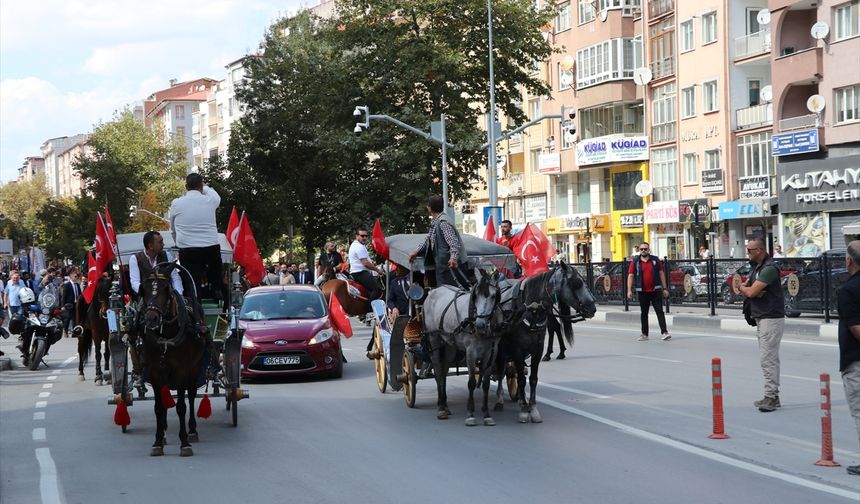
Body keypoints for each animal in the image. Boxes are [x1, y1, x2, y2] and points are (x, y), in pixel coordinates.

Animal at [143, 264, 208, 456]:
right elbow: (158, 407)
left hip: (195, 368)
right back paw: (164, 432)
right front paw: (157, 441)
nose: (151, 318)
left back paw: (192, 431)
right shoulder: (155, 371)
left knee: (191, 395)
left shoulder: (181, 370)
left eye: (166, 289)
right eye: (143, 289)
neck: (166, 336)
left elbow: (181, 406)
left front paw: (184, 442)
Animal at [422, 270, 504, 428]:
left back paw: (445, 405)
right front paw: (471, 414)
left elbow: (485, 384)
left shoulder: (492, 352)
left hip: (448, 344)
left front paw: (486, 414)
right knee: (437, 371)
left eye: (493, 296)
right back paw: (441, 408)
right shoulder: (471, 352)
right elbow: (471, 383)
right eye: (476, 295)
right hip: (433, 338)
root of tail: (433, 291)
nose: (480, 324)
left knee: (444, 371)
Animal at [494, 262, 596, 424]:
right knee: (500, 369)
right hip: (501, 349)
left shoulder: (537, 350)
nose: (593, 308)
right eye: (576, 283)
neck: (530, 310)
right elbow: (521, 380)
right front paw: (524, 410)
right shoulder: (518, 351)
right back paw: (500, 399)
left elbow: (533, 379)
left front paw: (533, 408)